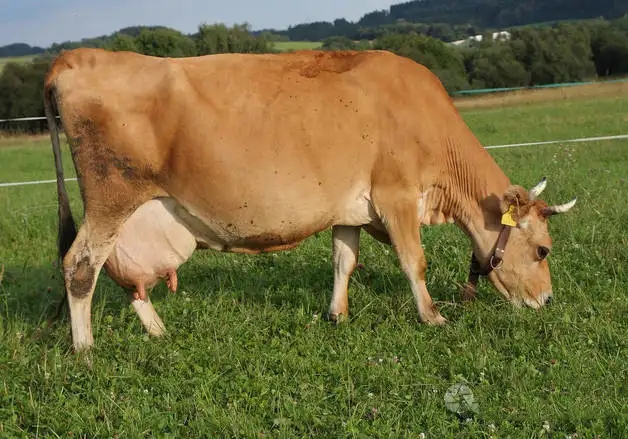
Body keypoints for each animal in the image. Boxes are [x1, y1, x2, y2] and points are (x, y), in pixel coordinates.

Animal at [41, 48, 576, 352]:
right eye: (543, 250)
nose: (548, 300)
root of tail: (76, 56)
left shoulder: (350, 208)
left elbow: (344, 259)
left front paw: (336, 315)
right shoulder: (396, 195)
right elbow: (414, 260)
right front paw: (433, 317)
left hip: (132, 209)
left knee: (122, 274)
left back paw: (157, 331)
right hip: (110, 196)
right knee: (80, 265)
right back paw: (85, 349)